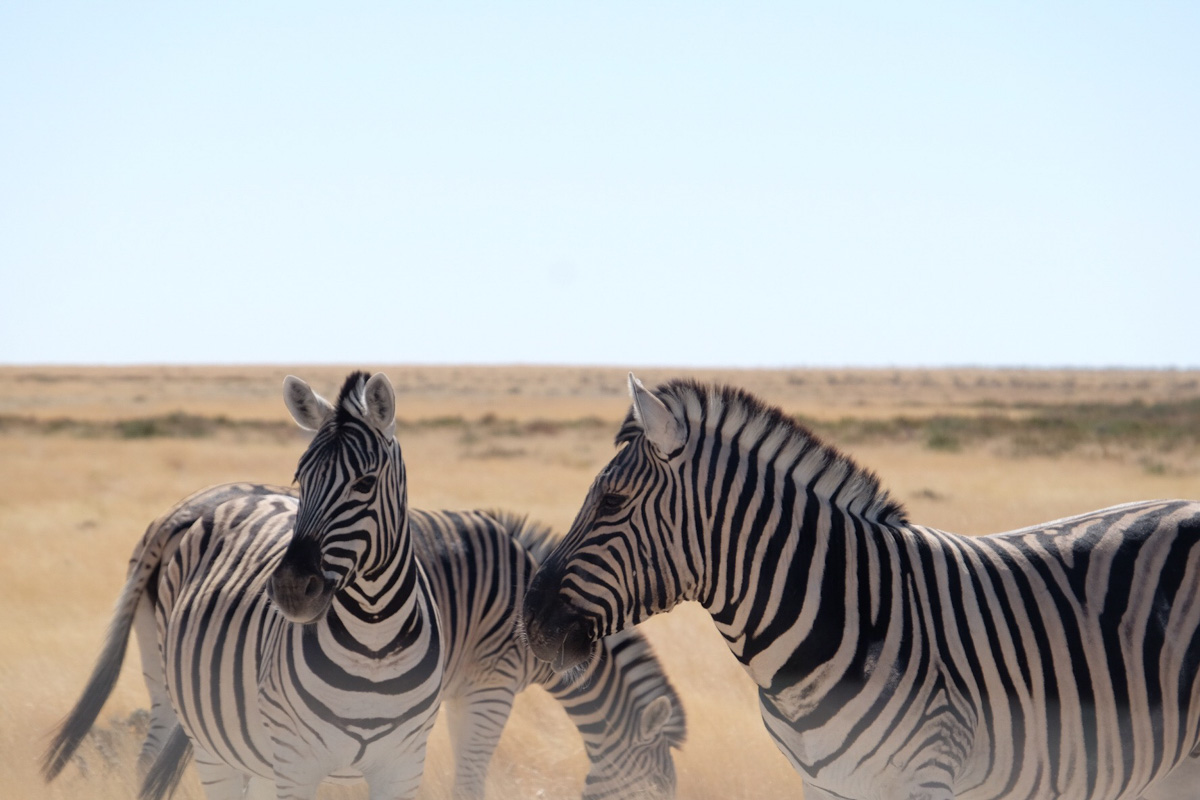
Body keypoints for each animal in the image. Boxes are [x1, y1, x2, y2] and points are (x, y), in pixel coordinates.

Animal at [42, 371, 448, 796]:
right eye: (300, 478)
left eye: (366, 483)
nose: (290, 588)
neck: (373, 643)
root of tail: (177, 517)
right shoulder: (297, 760)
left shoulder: (404, 763)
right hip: (184, 703)